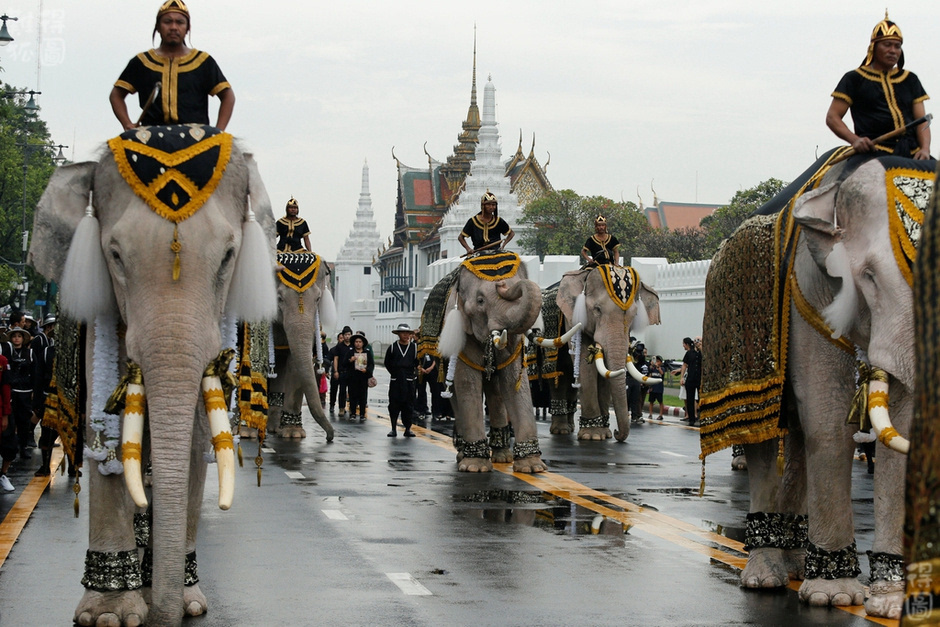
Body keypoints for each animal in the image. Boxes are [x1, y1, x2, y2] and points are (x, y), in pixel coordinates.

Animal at [28, 124, 280, 627]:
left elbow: (198, 441)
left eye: (228, 256)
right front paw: (108, 616)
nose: (167, 616)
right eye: (115, 256)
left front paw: (188, 604)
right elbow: (102, 437)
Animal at [264, 250, 334, 442]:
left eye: (318, 299)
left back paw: (273, 428)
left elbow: (295, 363)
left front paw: (292, 434)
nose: (329, 437)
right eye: (279, 298)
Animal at [430, 253, 548, 474]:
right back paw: (463, 454)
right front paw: (475, 467)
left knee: (496, 392)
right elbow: (467, 383)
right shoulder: (463, 335)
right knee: (455, 394)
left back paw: (502, 457)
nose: (502, 284)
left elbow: (514, 383)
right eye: (480, 300)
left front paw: (533, 468)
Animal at [540, 264, 664, 442]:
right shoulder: (573, 320)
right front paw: (593, 435)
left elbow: (605, 372)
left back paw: (570, 427)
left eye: (635, 315)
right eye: (597, 309)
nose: (618, 433)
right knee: (559, 374)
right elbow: (586, 367)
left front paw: (605, 434)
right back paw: (561, 430)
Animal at [696, 155, 932, 620]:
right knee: (766, 435)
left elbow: (899, 421)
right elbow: (828, 418)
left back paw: (797, 565)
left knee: (796, 438)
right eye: (869, 278)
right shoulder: (806, 292)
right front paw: (833, 596)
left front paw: (891, 604)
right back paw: (767, 577)